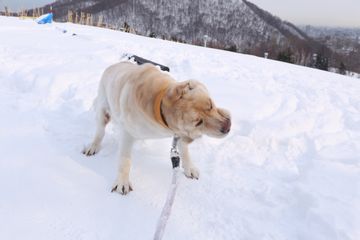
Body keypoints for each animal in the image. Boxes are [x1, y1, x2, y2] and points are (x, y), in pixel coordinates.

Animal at [82, 62, 231, 195]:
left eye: (210, 105)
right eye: (199, 122)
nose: (227, 127)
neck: (160, 102)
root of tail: (113, 66)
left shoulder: (179, 133)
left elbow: (184, 151)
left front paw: (189, 167)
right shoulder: (127, 133)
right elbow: (125, 160)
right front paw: (122, 182)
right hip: (103, 111)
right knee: (100, 132)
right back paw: (93, 146)